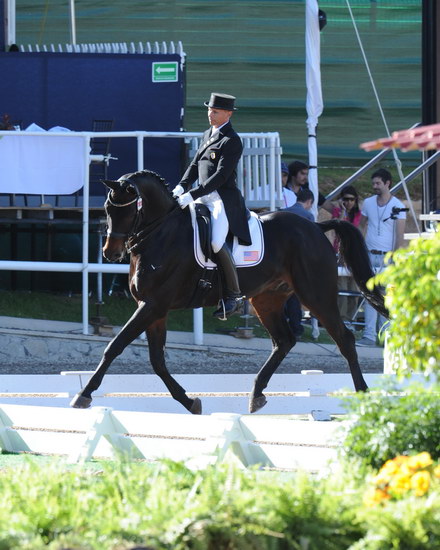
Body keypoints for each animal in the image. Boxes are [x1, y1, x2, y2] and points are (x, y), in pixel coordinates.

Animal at [70, 170, 386, 416]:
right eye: (108, 209)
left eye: (128, 209)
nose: (110, 253)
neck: (160, 233)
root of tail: (315, 226)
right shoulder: (153, 309)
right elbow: (157, 361)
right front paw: (190, 401)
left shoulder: (153, 305)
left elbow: (115, 346)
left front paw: (84, 394)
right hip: (266, 299)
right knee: (283, 341)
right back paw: (256, 395)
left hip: (316, 294)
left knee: (344, 339)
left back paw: (363, 396)